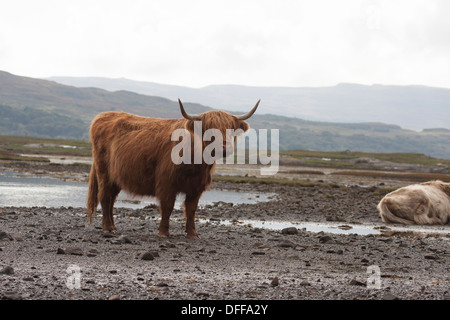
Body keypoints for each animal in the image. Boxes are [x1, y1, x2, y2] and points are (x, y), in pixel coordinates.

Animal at [86, 99, 260, 238]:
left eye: (230, 128)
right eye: (208, 128)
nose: (223, 148)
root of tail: (102, 116)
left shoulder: (196, 188)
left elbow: (191, 209)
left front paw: (192, 233)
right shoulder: (166, 184)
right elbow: (168, 207)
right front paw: (163, 232)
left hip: (116, 178)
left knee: (111, 200)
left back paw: (113, 226)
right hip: (104, 173)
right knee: (105, 197)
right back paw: (107, 228)